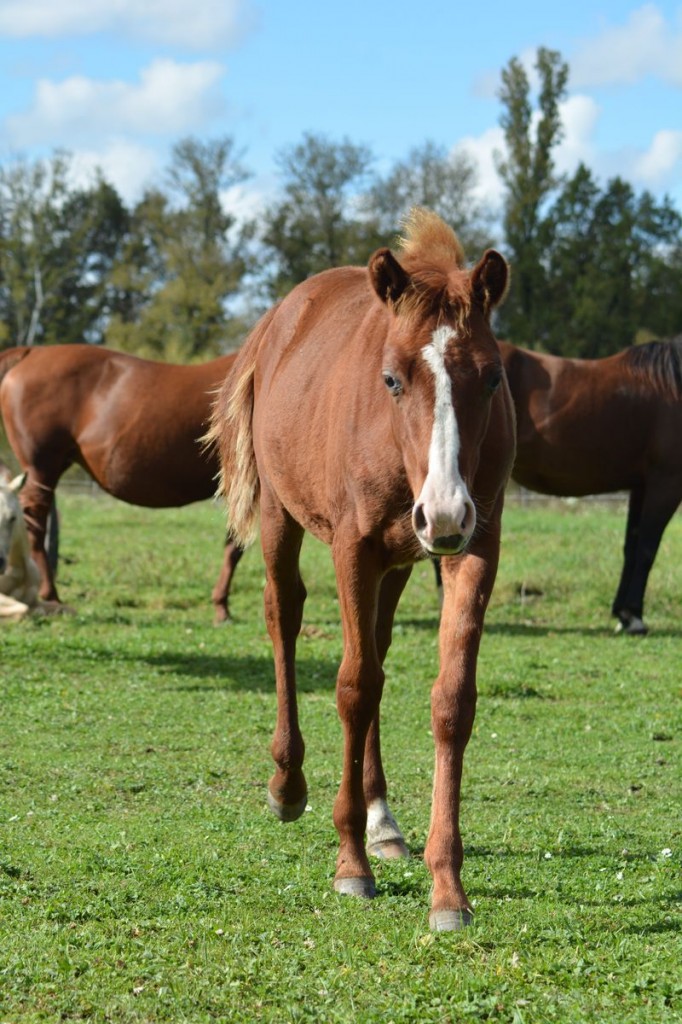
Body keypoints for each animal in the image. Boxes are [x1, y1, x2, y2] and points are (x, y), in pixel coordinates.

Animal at [209, 207, 512, 929]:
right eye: (392, 378)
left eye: (491, 377)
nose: (445, 509)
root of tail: (280, 317)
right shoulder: (353, 548)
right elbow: (351, 687)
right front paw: (350, 863)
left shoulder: (474, 548)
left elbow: (450, 700)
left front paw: (446, 886)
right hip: (281, 519)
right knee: (285, 617)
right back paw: (288, 783)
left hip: (401, 560)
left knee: (375, 645)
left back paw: (383, 819)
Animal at [499, 339, 679, 634]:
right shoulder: (666, 483)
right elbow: (647, 550)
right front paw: (634, 617)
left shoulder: (641, 486)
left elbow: (632, 547)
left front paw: (623, 614)